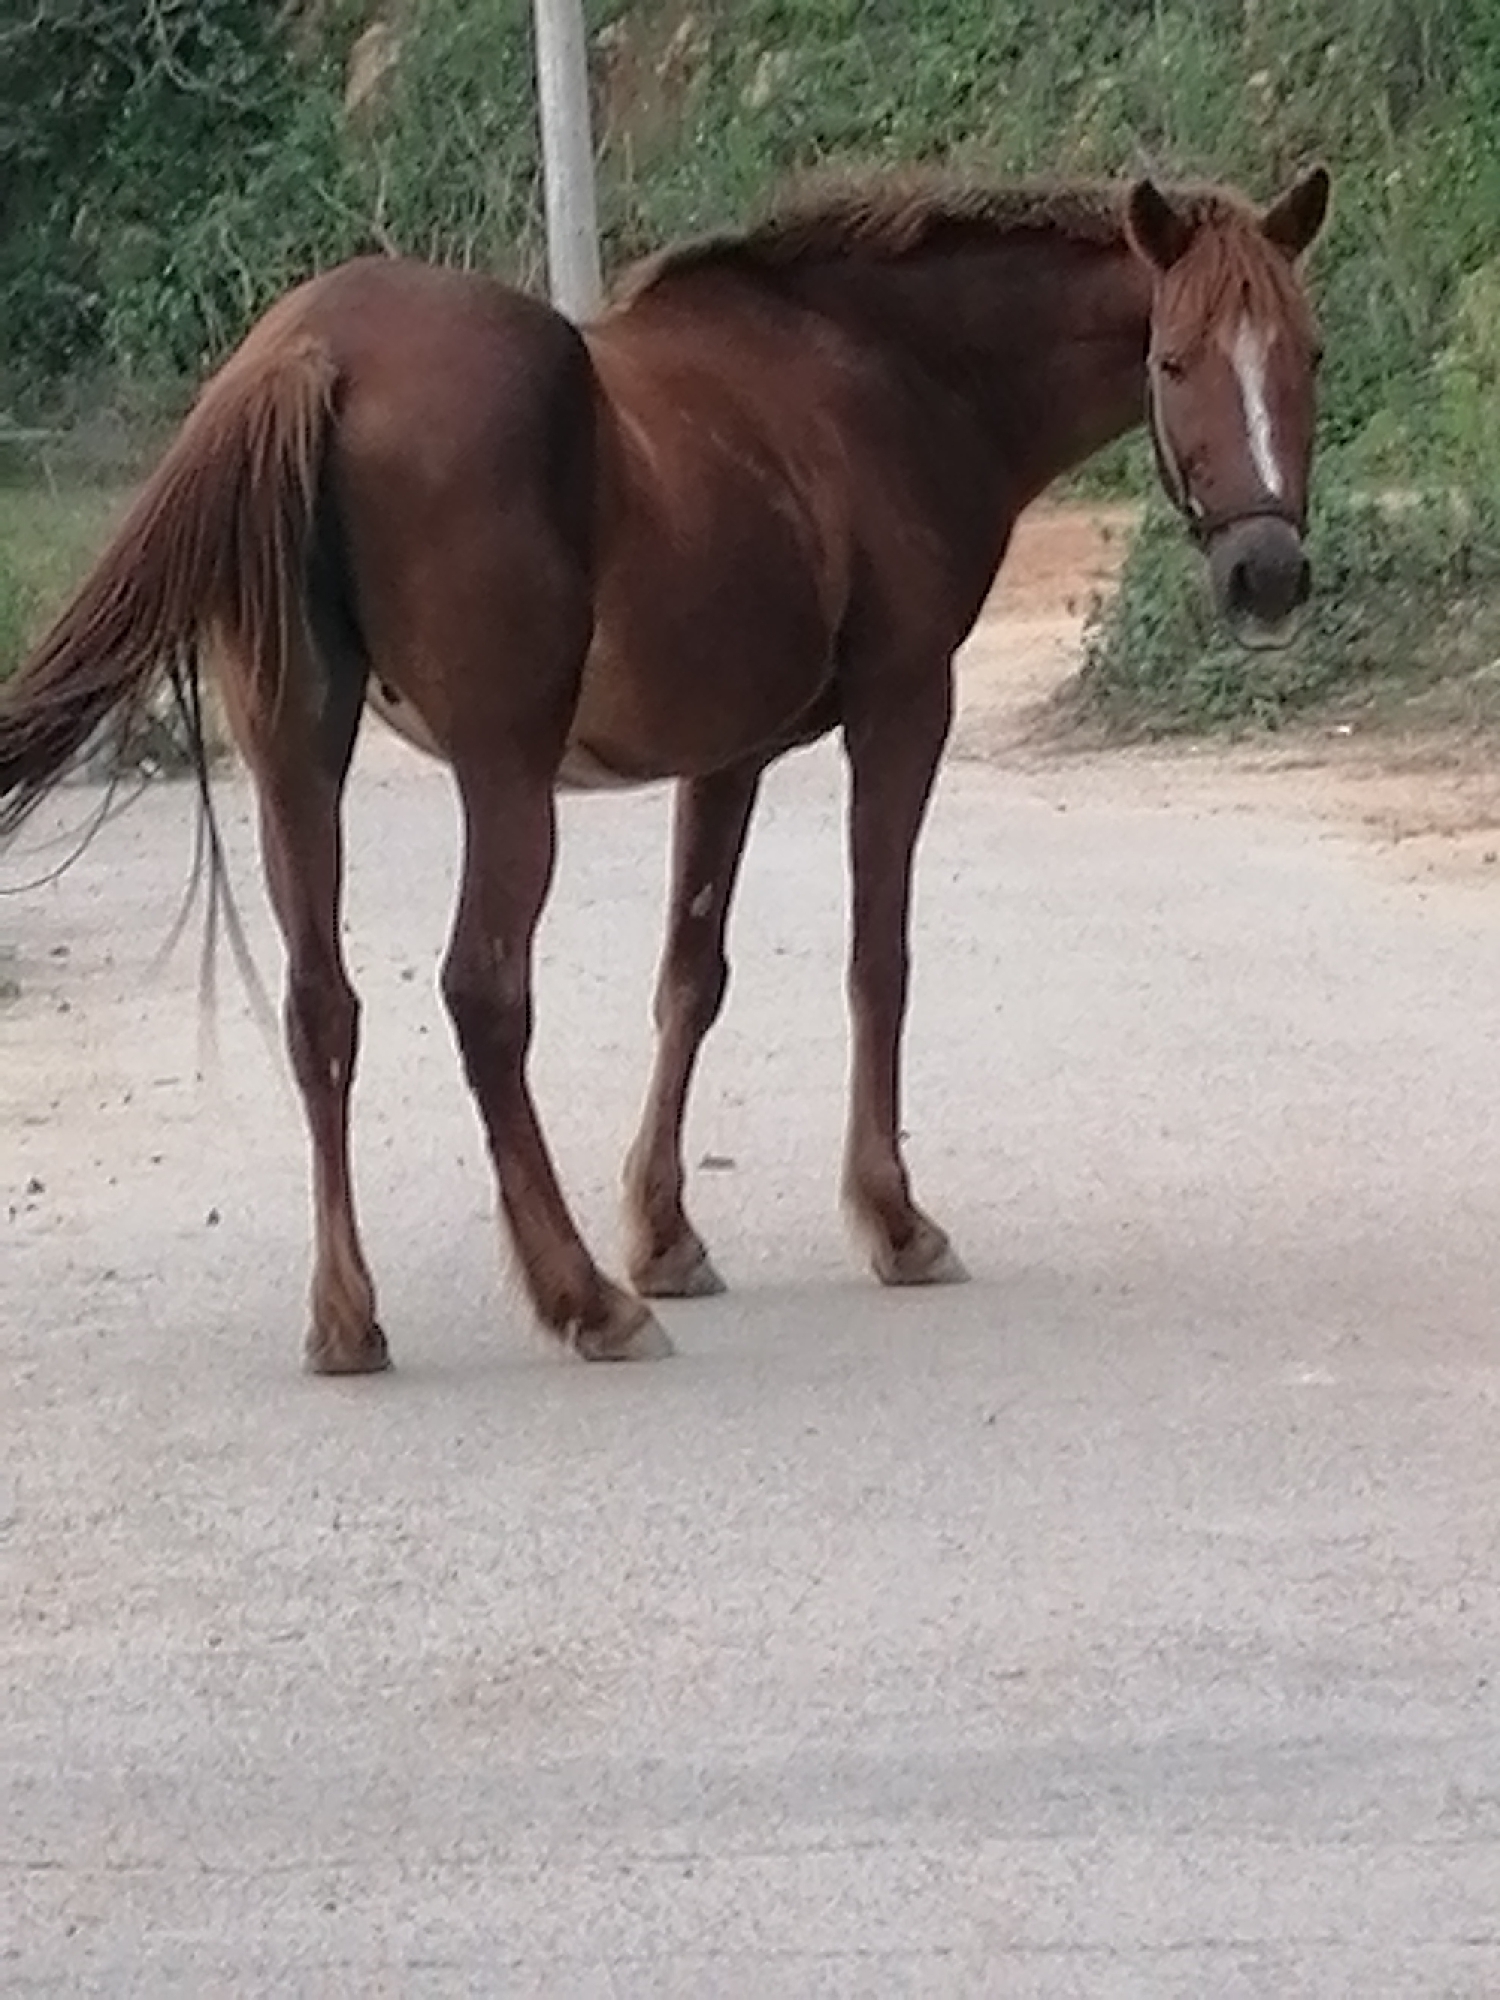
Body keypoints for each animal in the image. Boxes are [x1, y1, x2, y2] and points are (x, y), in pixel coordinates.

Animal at [0, 163, 1331, 1375]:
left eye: (1308, 356)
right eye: (1174, 362)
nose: (1266, 577)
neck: (890, 375)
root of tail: (315, 351)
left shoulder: (726, 757)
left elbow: (692, 977)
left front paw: (667, 1233)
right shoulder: (905, 709)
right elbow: (878, 962)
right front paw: (891, 1219)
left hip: (295, 759)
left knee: (321, 1004)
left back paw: (349, 1318)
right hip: (503, 776)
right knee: (484, 995)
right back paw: (582, 1298)